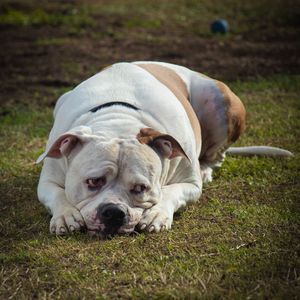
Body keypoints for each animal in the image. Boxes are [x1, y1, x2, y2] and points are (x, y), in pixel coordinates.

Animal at [36, 61, 292, 236]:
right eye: (93, 182)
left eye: (141, 188)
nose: (113, 212)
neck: (119, 120)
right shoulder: (47, 179)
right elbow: (57, 194)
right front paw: (66, 215)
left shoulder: (190, 184)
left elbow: (171, 192)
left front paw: (156, 214)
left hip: (223, 99)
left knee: (216, 155)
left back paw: (205, 169)